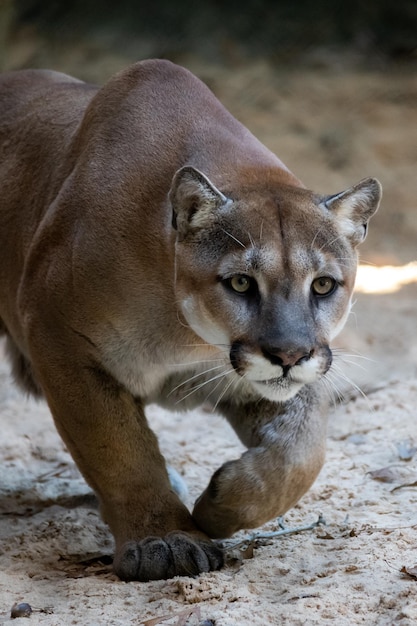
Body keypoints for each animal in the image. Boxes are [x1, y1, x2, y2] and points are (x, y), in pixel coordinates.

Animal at [0, 59, 378, 580]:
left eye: (322, 285)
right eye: (240, 283)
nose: (288, 355)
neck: (185, 332)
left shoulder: (278, 377)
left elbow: (301, 452)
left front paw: (218, 504)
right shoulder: (59, 338)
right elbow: (119, 452)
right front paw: (165, 540)